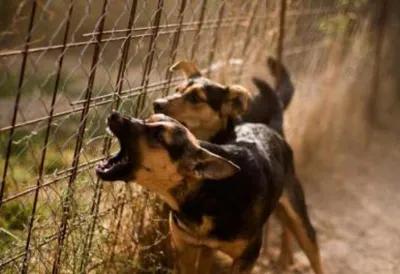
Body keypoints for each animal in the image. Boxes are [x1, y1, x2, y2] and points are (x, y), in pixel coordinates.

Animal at [97, 112, 306, 274]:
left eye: (158, 135)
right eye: (147, 119)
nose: (114, 114)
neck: (209, 194)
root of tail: (268, 127)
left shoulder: (247, 259)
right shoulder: (185, 251)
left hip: (298, 216)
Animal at [152, 58, 324, 272]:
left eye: (196, 98)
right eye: (177, 89)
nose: (156, 104)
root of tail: (270, 126)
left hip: (294, 204)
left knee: (308, 242)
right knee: (285, 224)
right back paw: (284, 256)